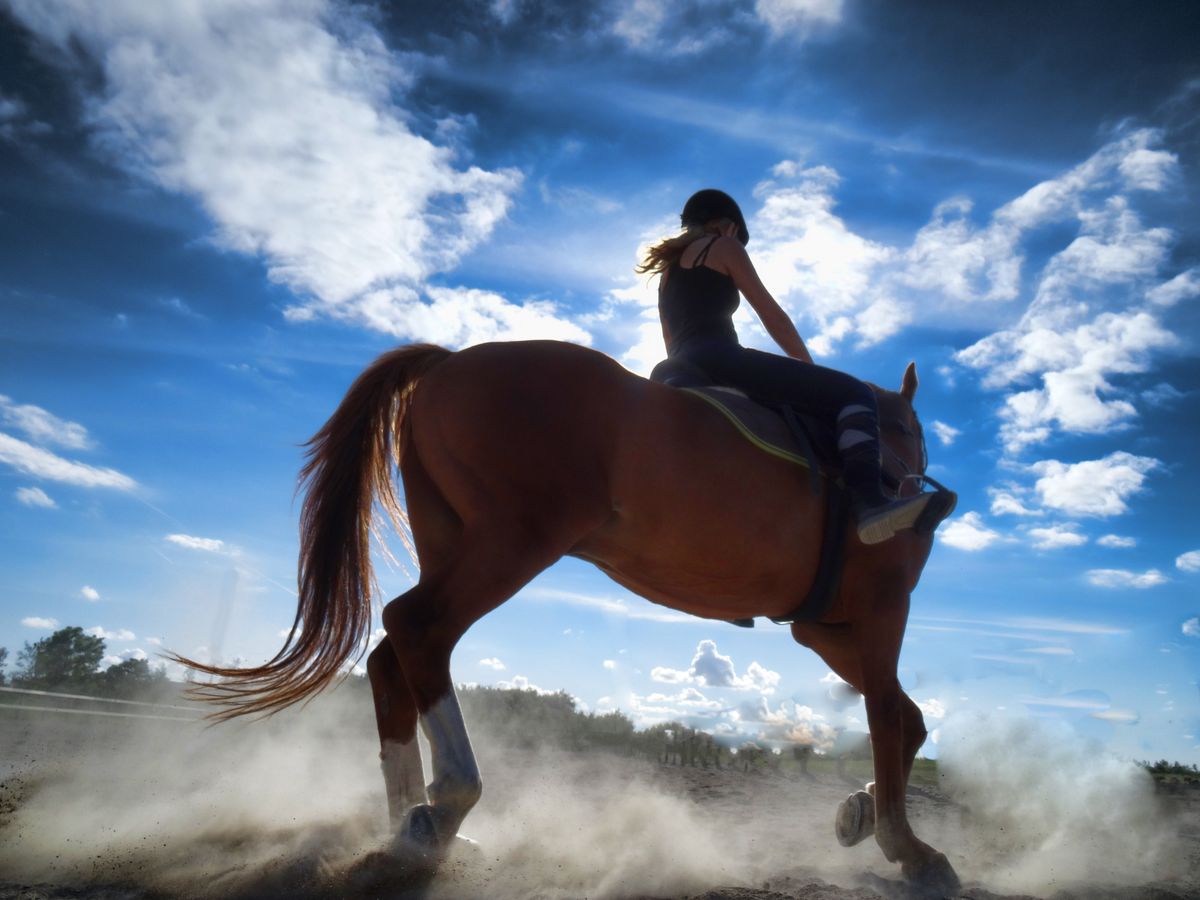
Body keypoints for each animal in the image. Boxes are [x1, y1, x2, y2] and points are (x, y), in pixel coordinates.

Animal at [177, 338, 960, 897]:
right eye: (914, 437)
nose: (916, 483)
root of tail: (450, 361)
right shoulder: (881, 610)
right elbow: (888, 719)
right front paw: (911, 847)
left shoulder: (822, 628)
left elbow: (908, 719)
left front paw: (860, 816)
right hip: (511, 543)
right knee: (418, 628)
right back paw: (447, 804)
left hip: (459, 540)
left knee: (390, 655)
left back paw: (406, 827)